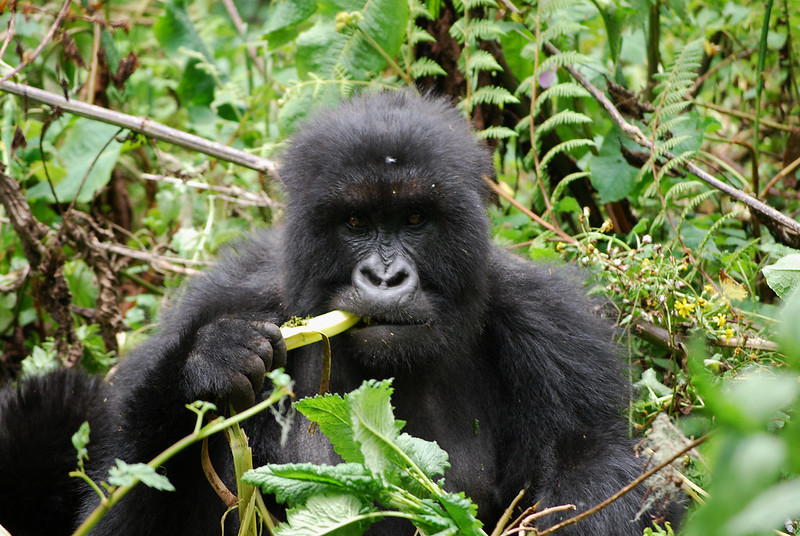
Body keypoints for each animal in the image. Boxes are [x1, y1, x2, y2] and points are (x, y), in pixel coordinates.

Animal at [0, 90, 676, 532]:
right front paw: (214, 360)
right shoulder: (223, 299)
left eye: (414, 218)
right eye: (354, 223)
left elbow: (597, 476)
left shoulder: (552, 327)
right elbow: (128, 493)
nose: (384, 277)